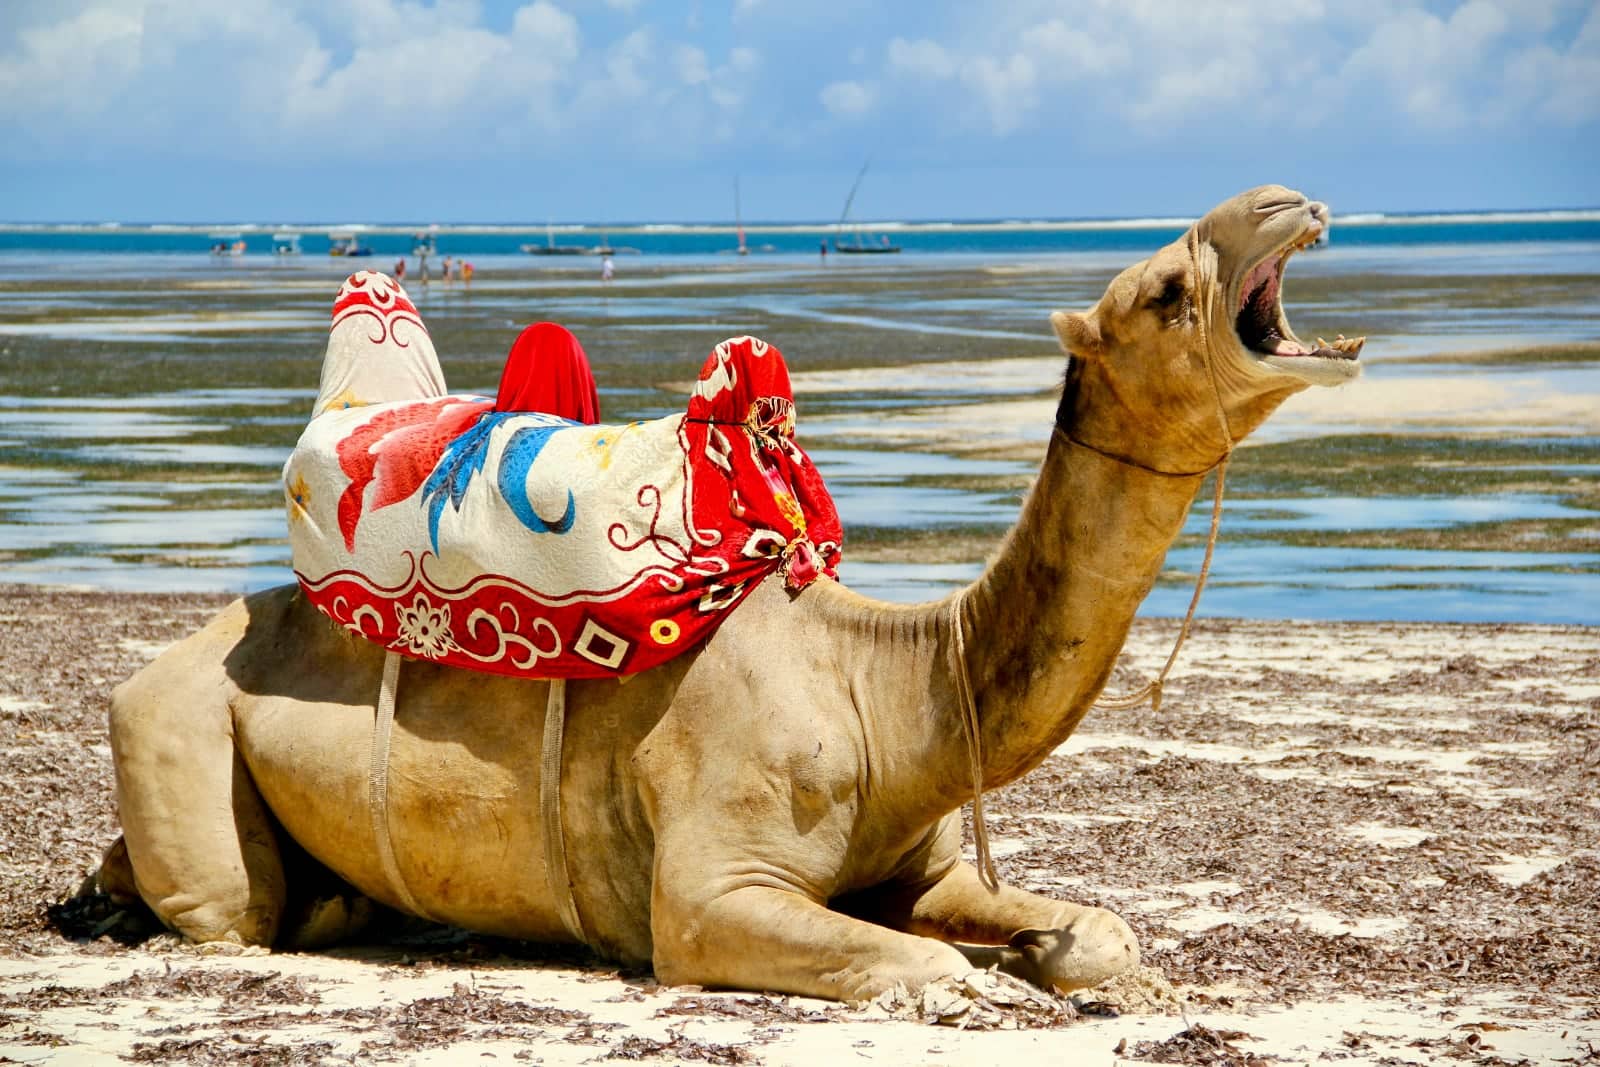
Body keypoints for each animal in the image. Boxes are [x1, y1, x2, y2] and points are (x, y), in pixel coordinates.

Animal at [93, 185, 1356, 1004]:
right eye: (1164, 289)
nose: (1288, 199)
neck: (885, 684)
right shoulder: (709, 884)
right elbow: (924, 964)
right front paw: (979, 985)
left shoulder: (921, 865)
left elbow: (1094, 930)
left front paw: (1064, 963)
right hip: (175, 722)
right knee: (236, 909)